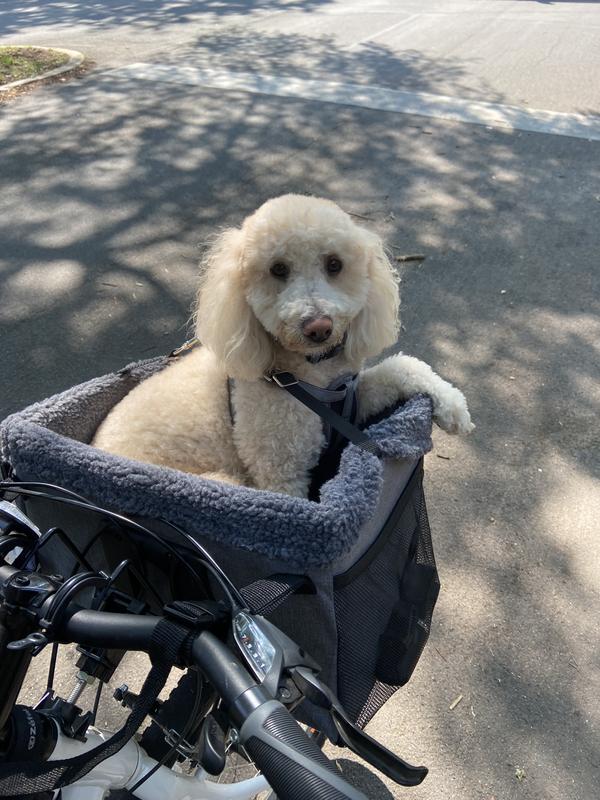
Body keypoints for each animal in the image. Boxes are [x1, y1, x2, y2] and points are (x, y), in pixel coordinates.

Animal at [92, 195, 474, 494]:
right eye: (278, 269)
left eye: (334, 264)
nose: (318, 328)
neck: (310, 372)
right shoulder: (279, 469)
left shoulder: (349, 400)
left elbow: (402, 365)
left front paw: (453, 406)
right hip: (219, 479)